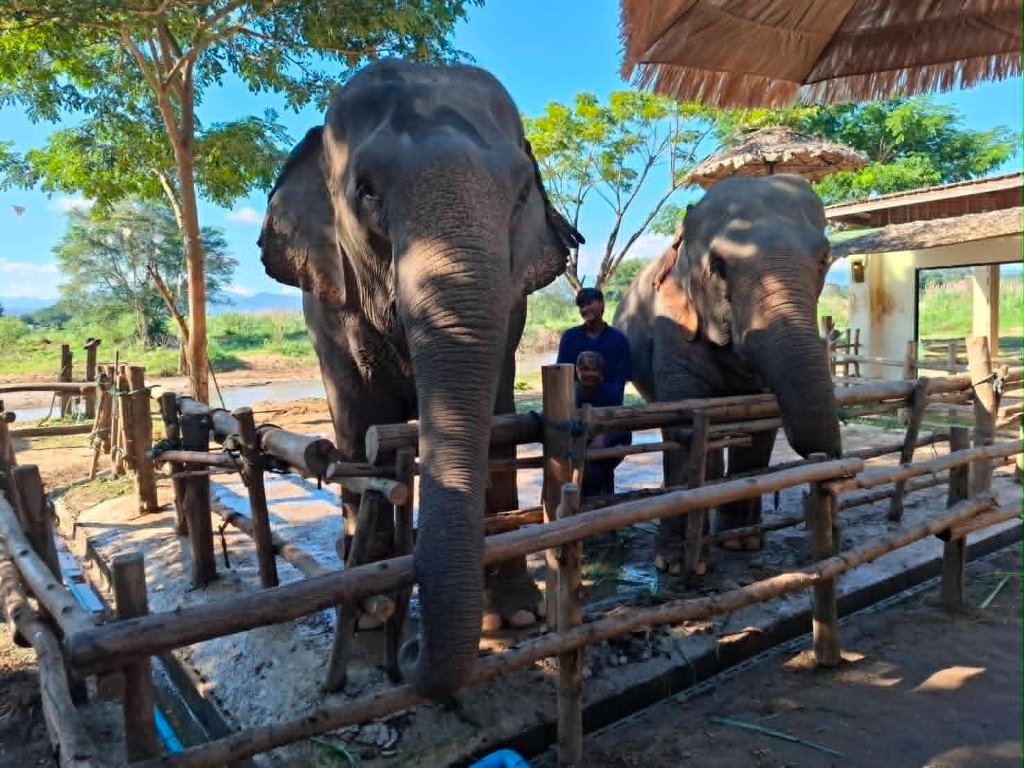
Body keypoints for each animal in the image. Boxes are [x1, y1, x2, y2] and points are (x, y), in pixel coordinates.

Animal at [257, 59, 583, 698]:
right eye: (366, 191)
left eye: (522, 192)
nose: (407, 658)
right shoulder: (330, 311)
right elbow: (359, 425)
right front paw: (371, 615)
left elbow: (498, 417)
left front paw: (516, 618)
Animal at [614, 174, 841, 571]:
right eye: (718, 265)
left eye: (825, 258)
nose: (831, 471)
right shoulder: (673, 328)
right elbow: (685, 422)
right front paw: (674, 564)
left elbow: (761, 424)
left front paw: (742, 544)